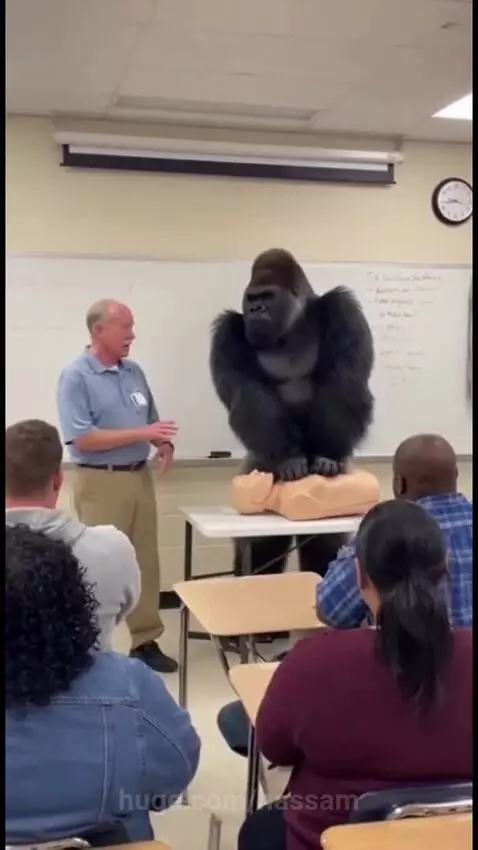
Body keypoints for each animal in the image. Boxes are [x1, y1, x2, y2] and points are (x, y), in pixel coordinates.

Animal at [210, 248, 374, 579]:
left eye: (267, 296)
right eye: (251, 298)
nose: (255, 309)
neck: (294, 325)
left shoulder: (343, 310)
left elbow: (346, 379)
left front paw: (326, 455)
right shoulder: (227, 332)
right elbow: (249, 392)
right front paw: (289, 458)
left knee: (325, 545)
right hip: (257, 470)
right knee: (261, 549)